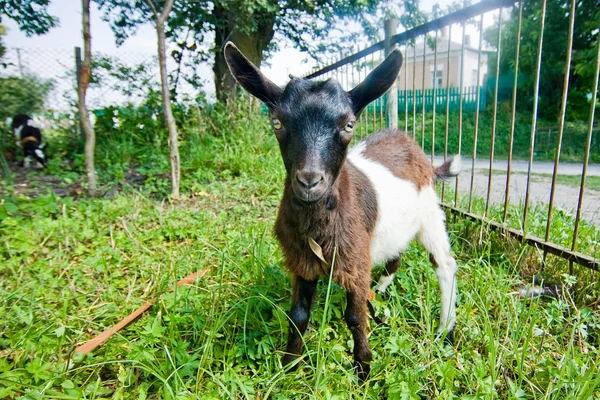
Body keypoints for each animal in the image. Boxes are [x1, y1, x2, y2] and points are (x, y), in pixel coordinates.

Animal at [225, 42, 464, 380]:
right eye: (277, 123)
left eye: (349, 124)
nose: (309, 181)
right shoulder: (303, 261)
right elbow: (298, 314)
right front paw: (290, 366)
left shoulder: (353, 259)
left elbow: (354, 316)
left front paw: (363, 369)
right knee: (395, 256)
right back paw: (381, 292)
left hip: (430, 212)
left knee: (444, 263)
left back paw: (445, 329)